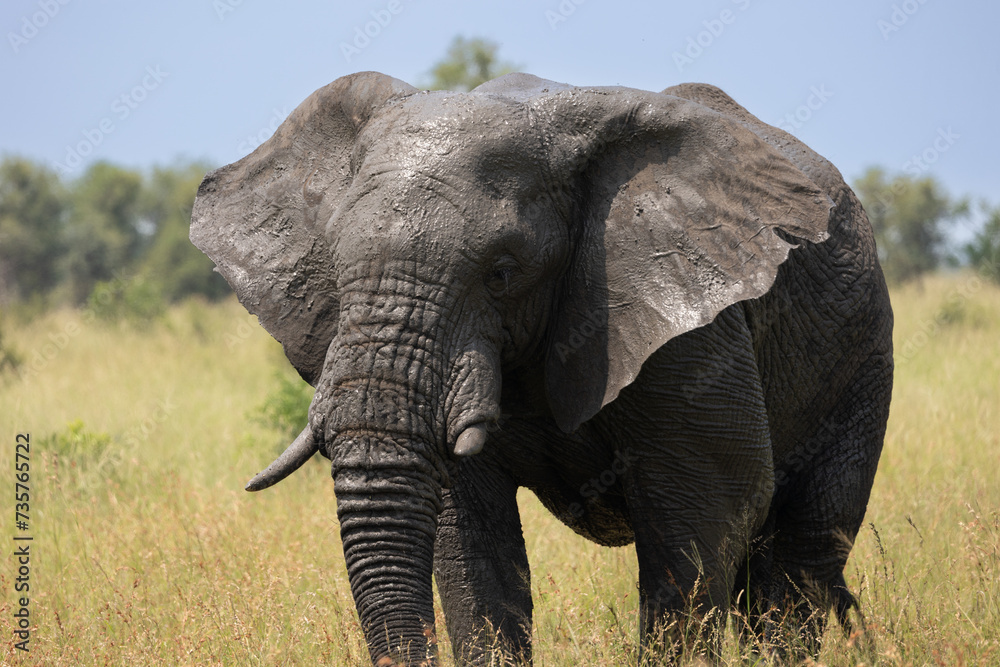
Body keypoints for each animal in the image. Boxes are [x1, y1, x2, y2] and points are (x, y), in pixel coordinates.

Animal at [190, 72, 893, 666]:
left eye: (502, 272)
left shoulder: (689, 325)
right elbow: (470, 539)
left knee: (801, 550)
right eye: (333, 266)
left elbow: (709, 507)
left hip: (862, 358)